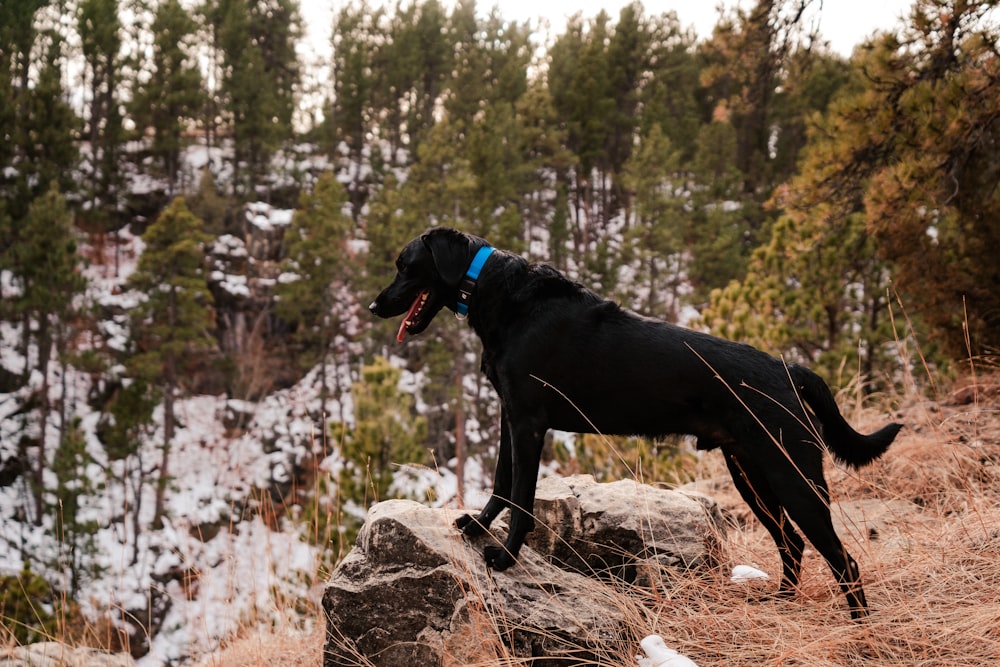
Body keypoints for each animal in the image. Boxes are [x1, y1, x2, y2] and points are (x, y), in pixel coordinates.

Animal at [372, 227, 904, 620]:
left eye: (404, 265)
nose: (375, 306)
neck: (498, 292)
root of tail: (789, 368)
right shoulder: (510, 417)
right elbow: (502, 482)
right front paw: (479, 525)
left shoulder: (528, 423)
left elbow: (521, 497)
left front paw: (505, 557)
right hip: (751, 473)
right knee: (792, 544)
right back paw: (780, 604)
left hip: (793, 476)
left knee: (844, 560)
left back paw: (857, 627)